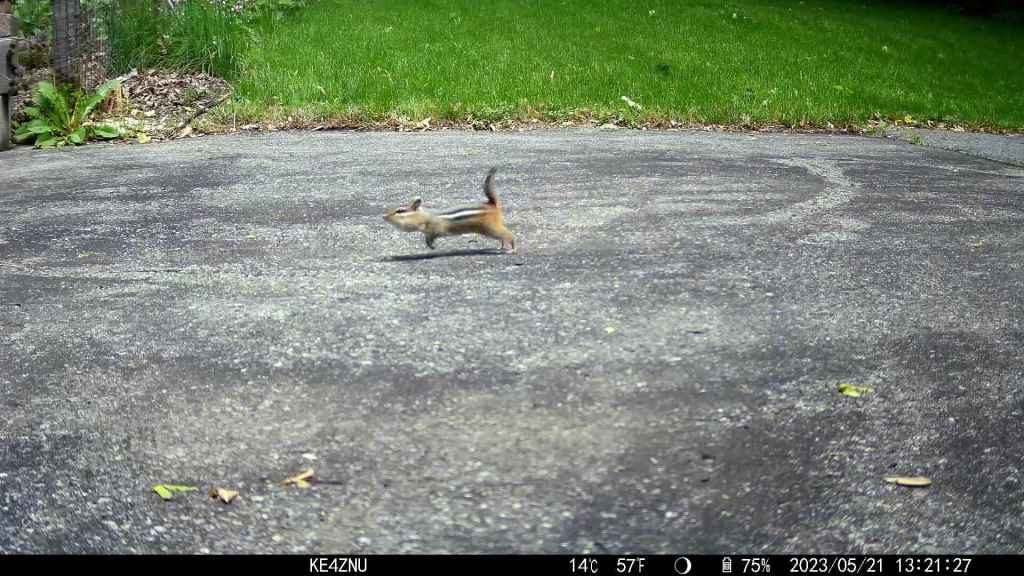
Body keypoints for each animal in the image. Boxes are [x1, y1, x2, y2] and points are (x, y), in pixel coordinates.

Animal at [383, 167, 516, 253]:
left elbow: (431, 238)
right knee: (503, 237)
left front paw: (432, 246)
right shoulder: (428, 232)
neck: (425, 216)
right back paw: (502, 247)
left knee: (508, 234)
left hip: (490, 228)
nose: (384, 216)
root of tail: (492, 205)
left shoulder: (434, 229)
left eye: (400, 211)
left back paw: (512, 248)